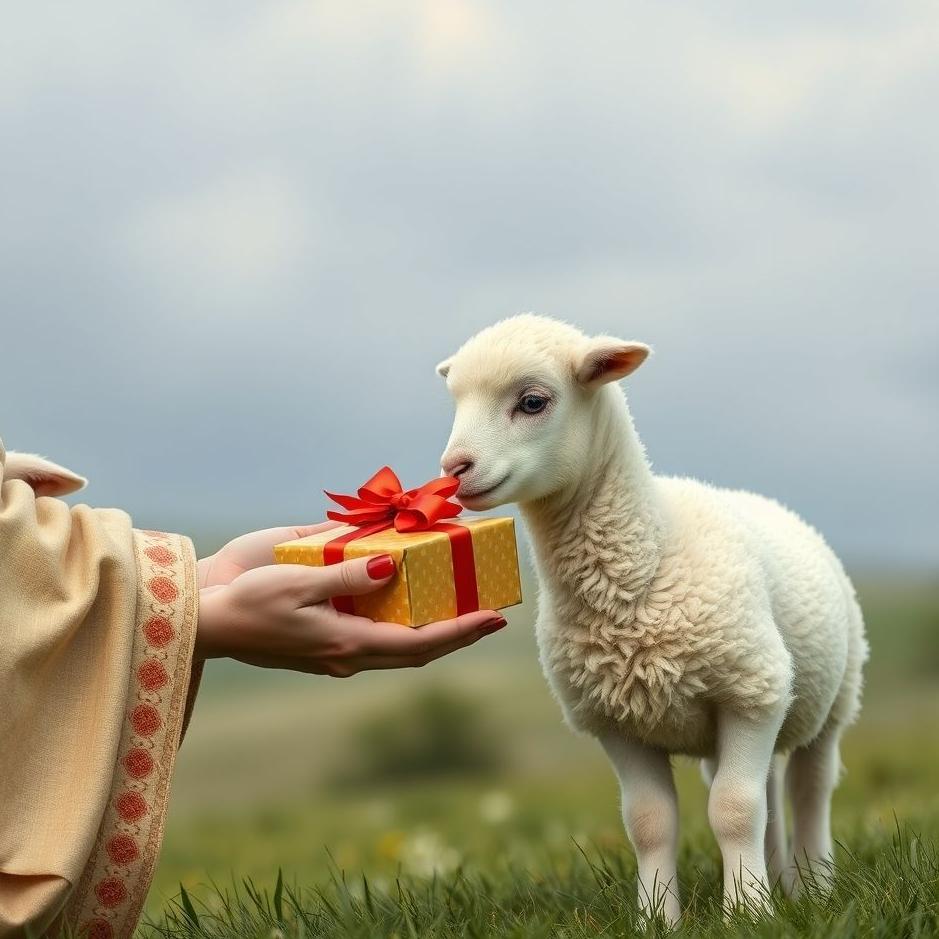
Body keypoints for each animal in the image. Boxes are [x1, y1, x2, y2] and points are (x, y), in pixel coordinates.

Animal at [436, 314, 867, 923]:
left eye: (533, 401)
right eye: (455, 400)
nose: (454, 469)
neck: (648, 555)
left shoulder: (752, 690)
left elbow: (734, 809)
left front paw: (746, 915)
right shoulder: (614, 718)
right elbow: (650, 822)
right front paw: (659, 917)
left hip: (832, 695)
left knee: (809, 787)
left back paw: (815, 888)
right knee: (767, 792)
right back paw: (782, 885)